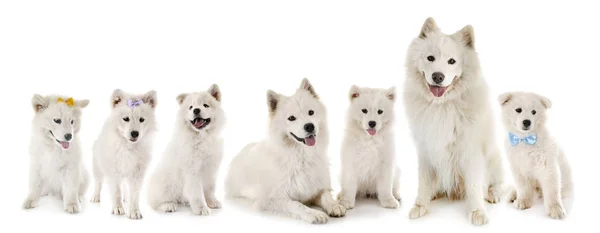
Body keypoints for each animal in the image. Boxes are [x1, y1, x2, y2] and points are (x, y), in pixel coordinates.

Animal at [91, 88, 157, 218]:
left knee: (125, 187)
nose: (135, 133)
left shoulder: (137, 173)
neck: (128, 147)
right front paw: (117, 208)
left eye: (141, 120)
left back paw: (125, 198)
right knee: (98, 183)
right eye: (126, 119)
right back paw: (95, 197)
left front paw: (134, 211)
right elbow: (116, 192)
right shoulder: (113, 171)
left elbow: (134, 194)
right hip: (98, 168)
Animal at [147, 84, 225, 216]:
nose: (196, 110)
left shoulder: (211, 170)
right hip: (166, 185)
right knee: (156, 202)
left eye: (205, 105)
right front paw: (201, 208)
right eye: (190, 107)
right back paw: (168, 205)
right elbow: (197, 193)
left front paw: (212, 202)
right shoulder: (193, 171)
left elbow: (209, 189)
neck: (202, 137)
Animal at [225, 78, 346, 224]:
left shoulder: (317, 189)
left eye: (311, 112)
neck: (301, 157)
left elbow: (326, 196)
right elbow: (296, 204)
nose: (309, 126)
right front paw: (313, 213)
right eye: (291, 118)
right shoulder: (270, 199)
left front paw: (334, 205)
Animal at [404, 17, 506, 225]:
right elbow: (424, 182)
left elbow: (474, 185)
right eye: (430, 58)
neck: (441, 106)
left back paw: (492, 194)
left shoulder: (471, 152)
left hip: (495, 159)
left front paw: (477, 212)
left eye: (452, 61)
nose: (438, 76)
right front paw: (420, 205)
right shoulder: (426, 149)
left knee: (498, 183)